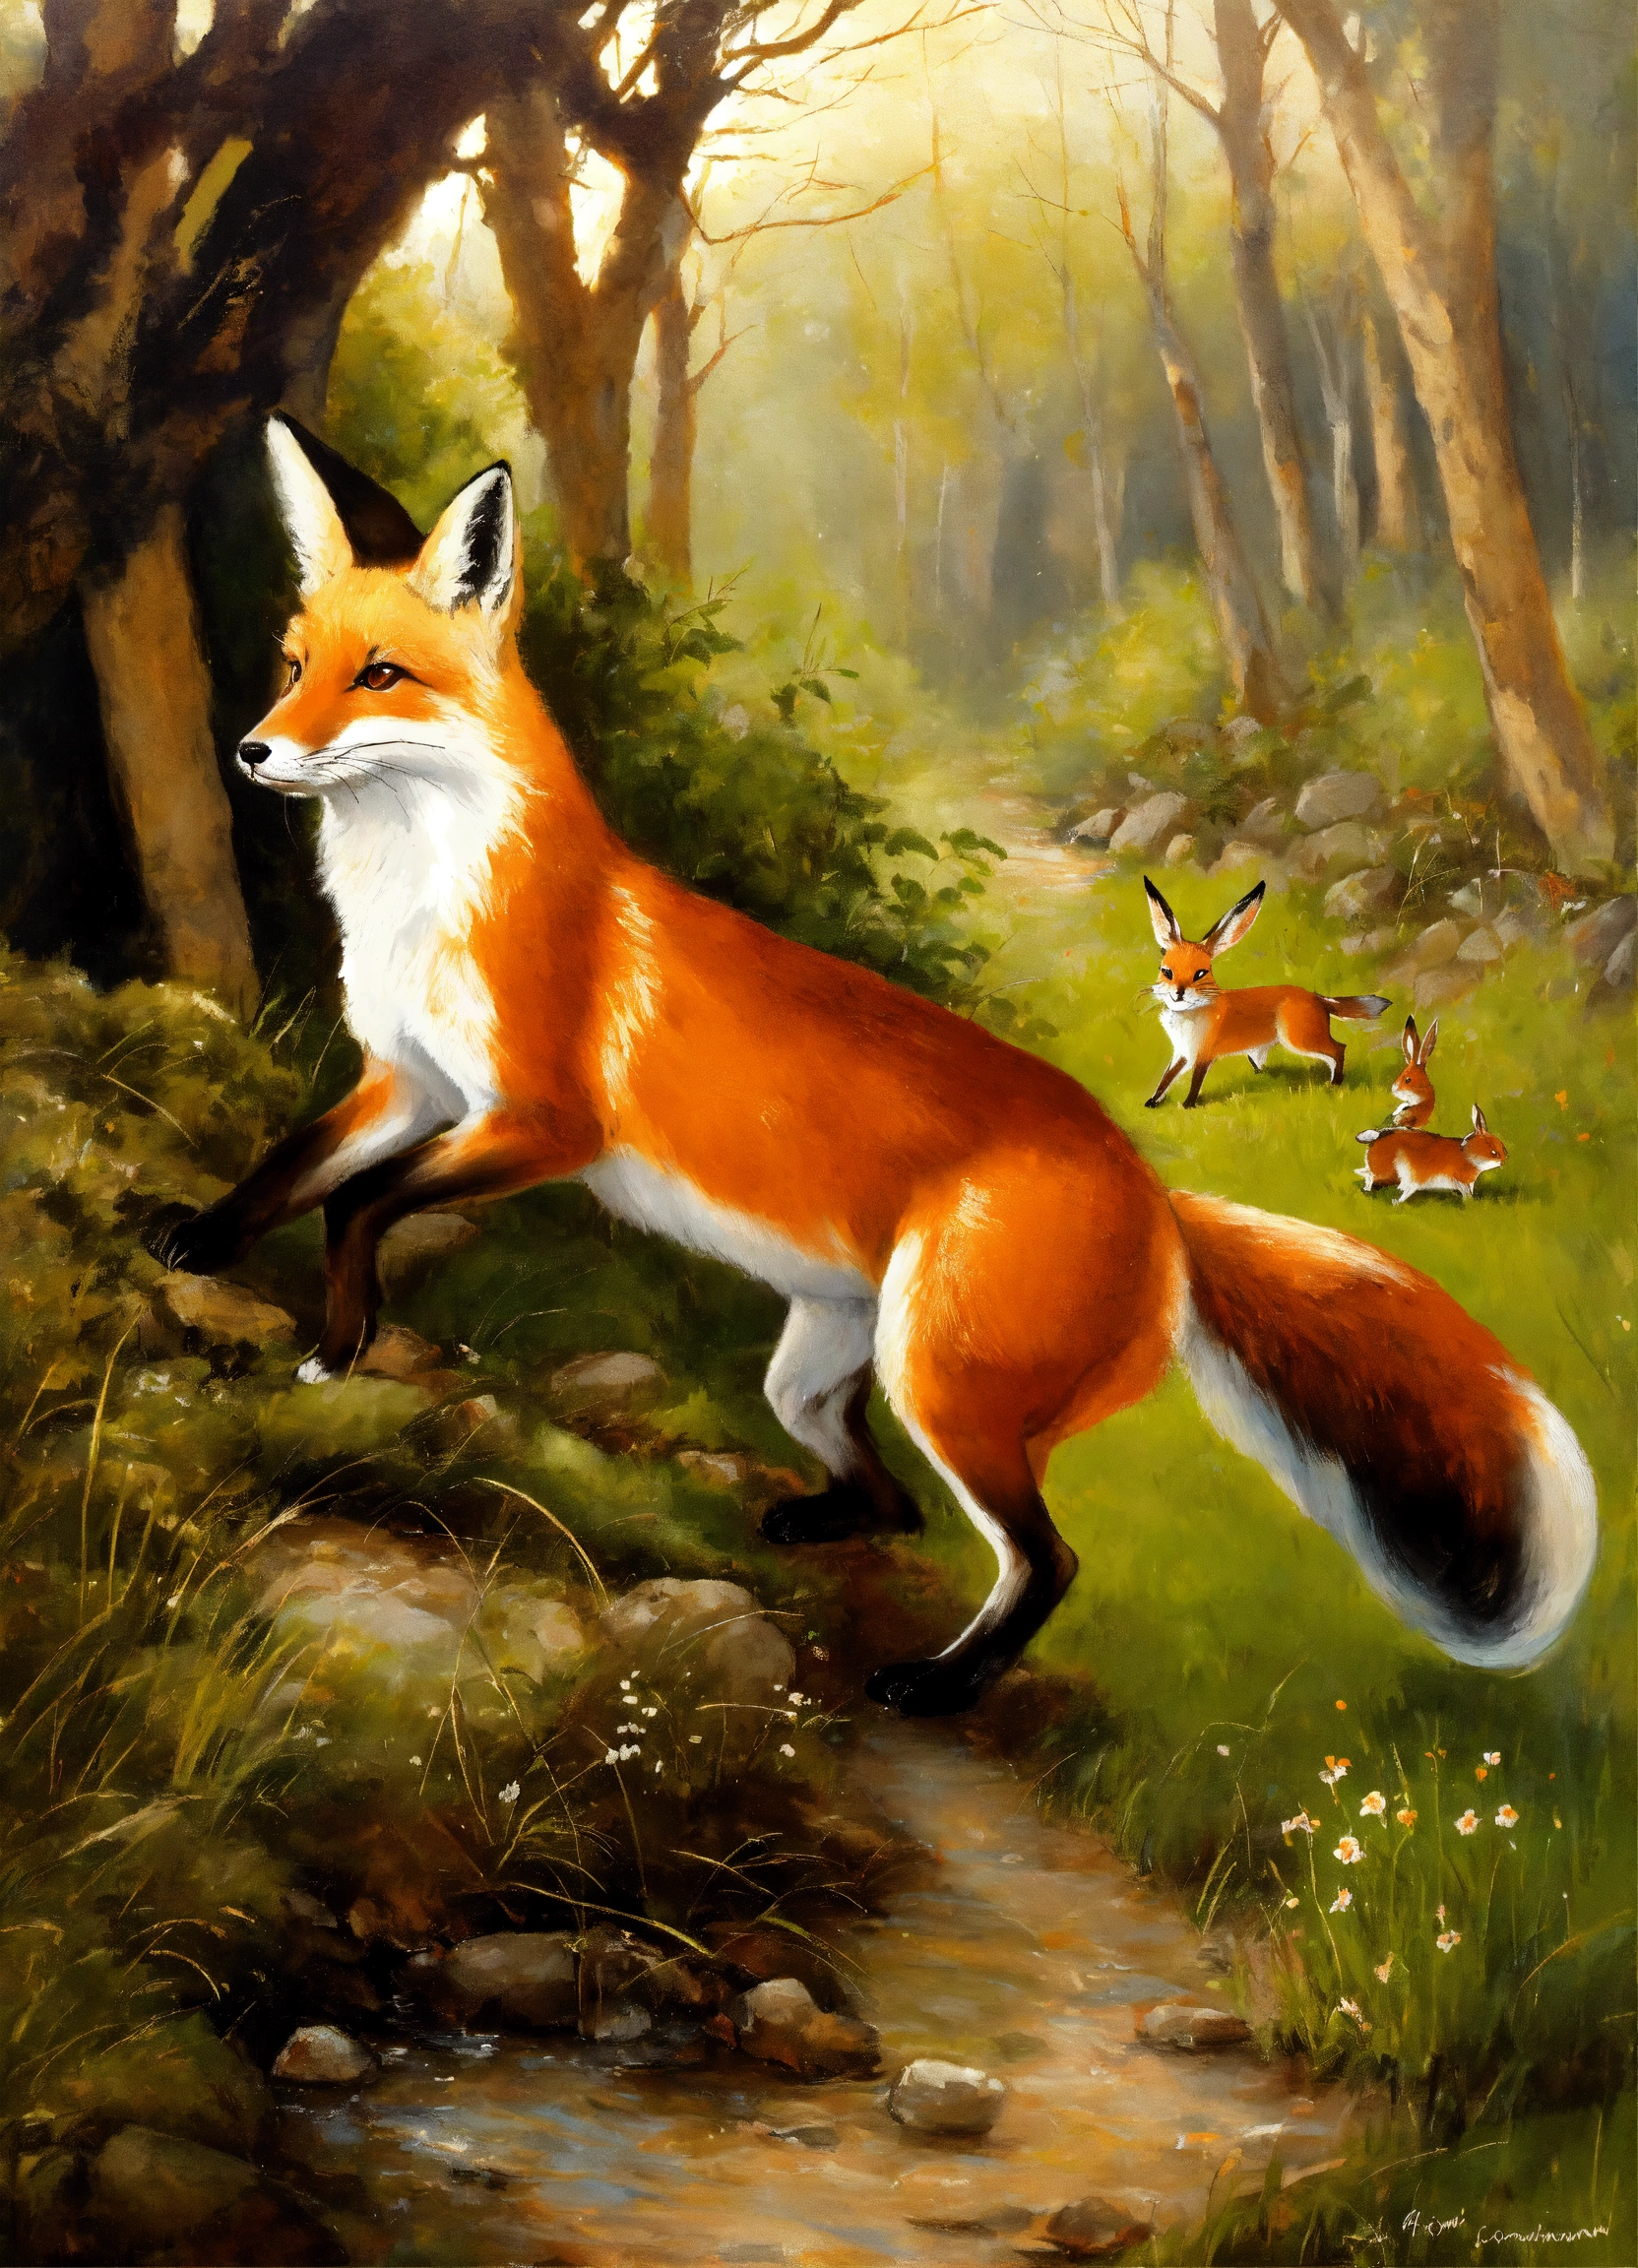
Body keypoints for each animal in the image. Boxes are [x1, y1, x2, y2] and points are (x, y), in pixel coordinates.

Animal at [1143, 876, 1390, 1108]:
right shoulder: (1182, 1052)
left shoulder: (1204, 1054)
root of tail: (1316, 997)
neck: (1189, 1016)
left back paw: (1335, 1084)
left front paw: (1188, 1105)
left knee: (1339, 1049)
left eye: (1200, 974)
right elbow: (1166, 1079)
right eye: (1166, 972)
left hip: (1300, 1040)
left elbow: (1195, 1082)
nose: (1179, 992)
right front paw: (1153, 1102)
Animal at [1355, 1105, 1507, 1204]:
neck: (1466, 1154)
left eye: (1503, 1148)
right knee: (1367, 1174)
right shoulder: (1460, 1180)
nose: (1504, 1160)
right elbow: (1466, 1193)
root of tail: (1376, 1136)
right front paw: (1471, 1204)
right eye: (1493, 1151)